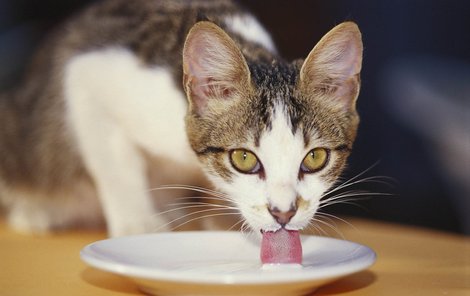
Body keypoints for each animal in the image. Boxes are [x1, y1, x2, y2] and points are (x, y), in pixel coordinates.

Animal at [0, 0, 364, 237]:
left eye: (315, 158)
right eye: (244, 159)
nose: (284, 212)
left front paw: (225, 218)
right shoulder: (87, 74)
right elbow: (115, 164)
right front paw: (137, 223)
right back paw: (36, 210)